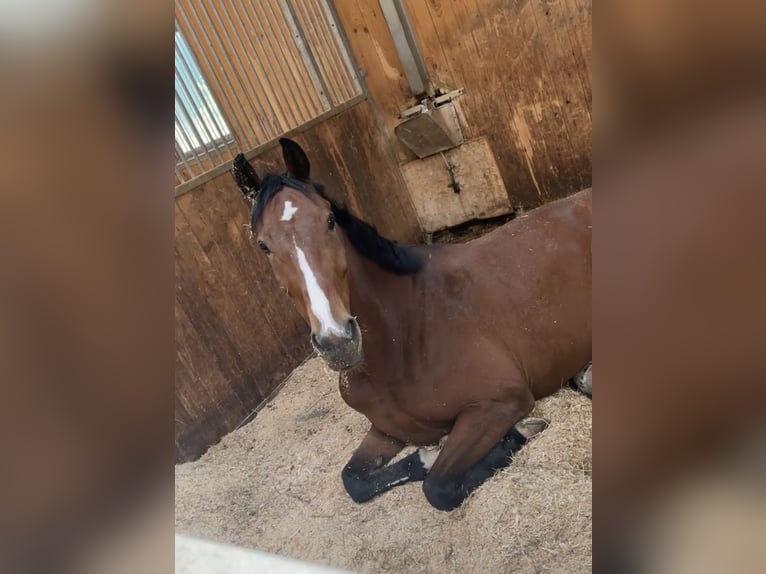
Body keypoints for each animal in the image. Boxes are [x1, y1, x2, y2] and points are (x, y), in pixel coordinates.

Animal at [231, 138, 592, 511]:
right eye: (263, 245)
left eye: (329, 220)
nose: (338, 341)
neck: (403, 337)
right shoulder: (385, 430)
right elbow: (354, 480)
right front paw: (425, 457)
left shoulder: (501, 402)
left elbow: (438, 488)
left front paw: (516, 434)